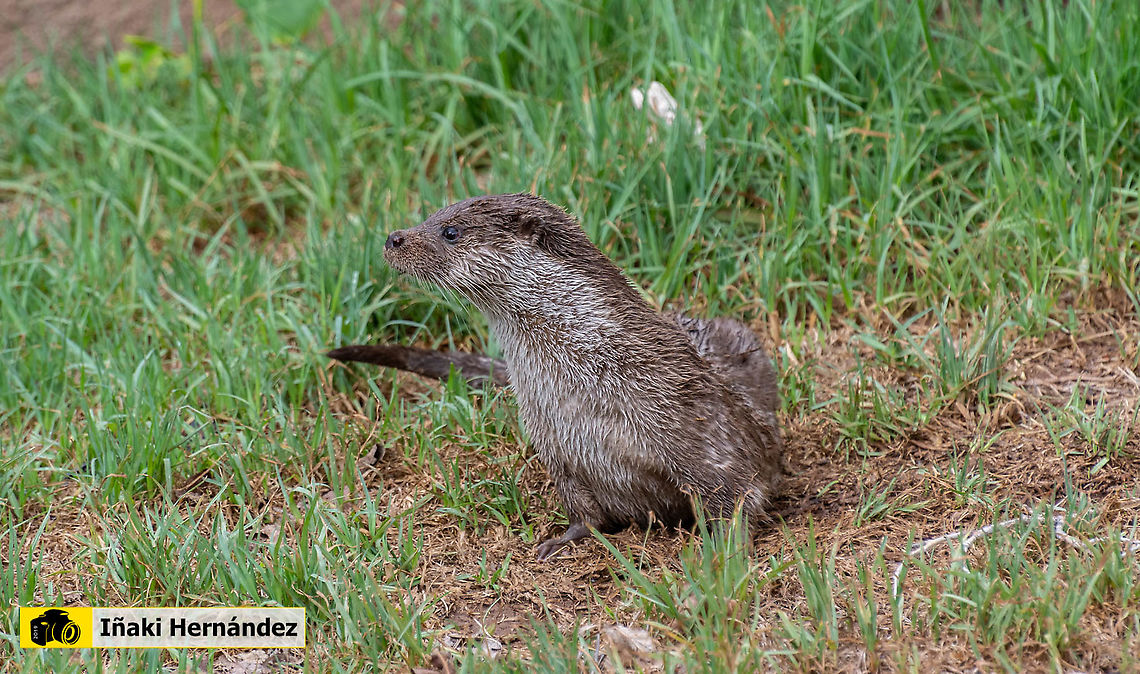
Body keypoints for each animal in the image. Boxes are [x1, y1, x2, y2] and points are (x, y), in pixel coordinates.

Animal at [330, 193, 783, 558]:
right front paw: (564, 540)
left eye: (450, 230)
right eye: (430, 216)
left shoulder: (705, 434)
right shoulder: (557, 447)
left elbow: (735, 496)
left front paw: (724, 554)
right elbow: (584, 512)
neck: (591, 379)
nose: (394, 238)